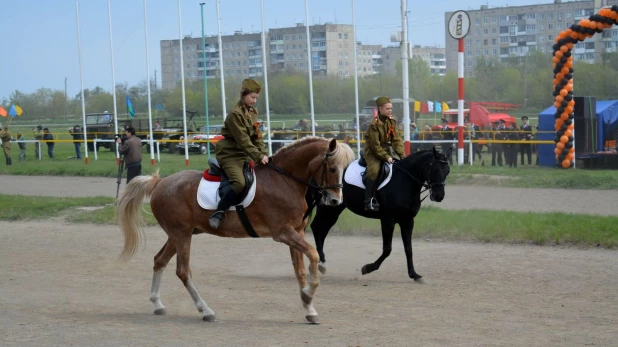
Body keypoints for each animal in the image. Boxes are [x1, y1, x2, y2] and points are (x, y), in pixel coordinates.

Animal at [116, 137, 354, 324]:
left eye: (344, 170)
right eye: (332, 169)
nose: (336, 200)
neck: (285, 180)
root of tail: (160, 182)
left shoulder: (297, 232)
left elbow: (301, 270)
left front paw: (309, 307)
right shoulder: (284, 233)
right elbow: (313, 255)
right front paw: (308, 295)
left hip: (179, 235)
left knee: (159, 261)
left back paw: (158, 304)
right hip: (181, 235)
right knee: (183, 272)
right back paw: (206, 311)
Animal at [306, 148, 448, 282]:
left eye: (447, 171)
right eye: (435, 170)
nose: (439, 196)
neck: (404, 181)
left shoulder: (407, 221)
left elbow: (408, 249)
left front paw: (414, 274)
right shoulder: (388, 220)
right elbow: (387, 249)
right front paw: (368, 268)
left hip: (334, 209)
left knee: (321, 230)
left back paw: (320, 262)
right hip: (327, 208)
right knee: (317, 228)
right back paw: (321, 263)